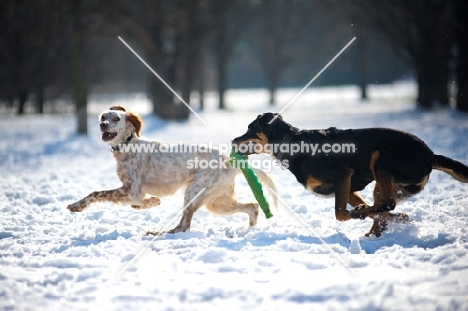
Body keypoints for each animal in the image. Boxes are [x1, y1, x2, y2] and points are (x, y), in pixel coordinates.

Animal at [67, 106, 276, 235]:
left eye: (116, 118)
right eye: (104, 116)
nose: (102, 124)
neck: (128, 145)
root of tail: (229, 163)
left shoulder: (131, 189)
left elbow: (96, 193)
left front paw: (77, 205)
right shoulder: (134, 192)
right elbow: (137, 204)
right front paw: (153, 202)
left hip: (194, 193)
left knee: (183, 226)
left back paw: (157, 232)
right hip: (217, 202)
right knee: (252, 206)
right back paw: (250, 228)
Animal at [232, 113, 468, 238]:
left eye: (250, 128)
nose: (233, 140)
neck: (291, 143)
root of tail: (431, 156)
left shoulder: (342, 176)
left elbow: (340, 213)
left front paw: (357, 214)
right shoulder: (349, 187)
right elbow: (370, 211)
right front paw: (397, 218)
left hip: (382, 159)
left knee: (388, 203)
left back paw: (367, 218)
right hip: (385, 181)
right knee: (384, 205)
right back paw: (376, 231)